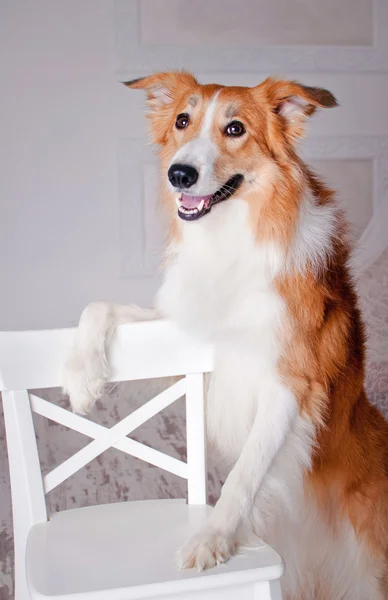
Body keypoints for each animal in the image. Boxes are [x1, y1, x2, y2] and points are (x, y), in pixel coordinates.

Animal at [64, 74, 388, 600]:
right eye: (182, 120)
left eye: (235, 128)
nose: (178, 174)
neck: (231, 237)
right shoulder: (181, 341)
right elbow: (100, 306)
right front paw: (80, 373)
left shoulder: (291, 385)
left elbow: (245, 471)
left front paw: (213, 536)